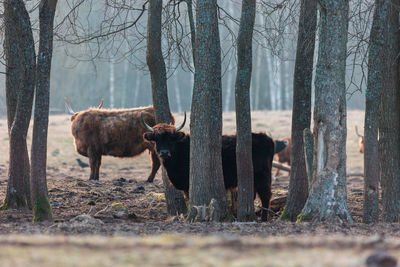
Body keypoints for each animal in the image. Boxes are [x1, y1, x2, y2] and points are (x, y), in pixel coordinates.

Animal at [141, 114, 276, 223]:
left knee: (266, 195)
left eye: (171, 138)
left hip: (263, 176)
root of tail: (266, 138)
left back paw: (264, 218)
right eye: (156, 138)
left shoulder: (188, 184)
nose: (164, 152)